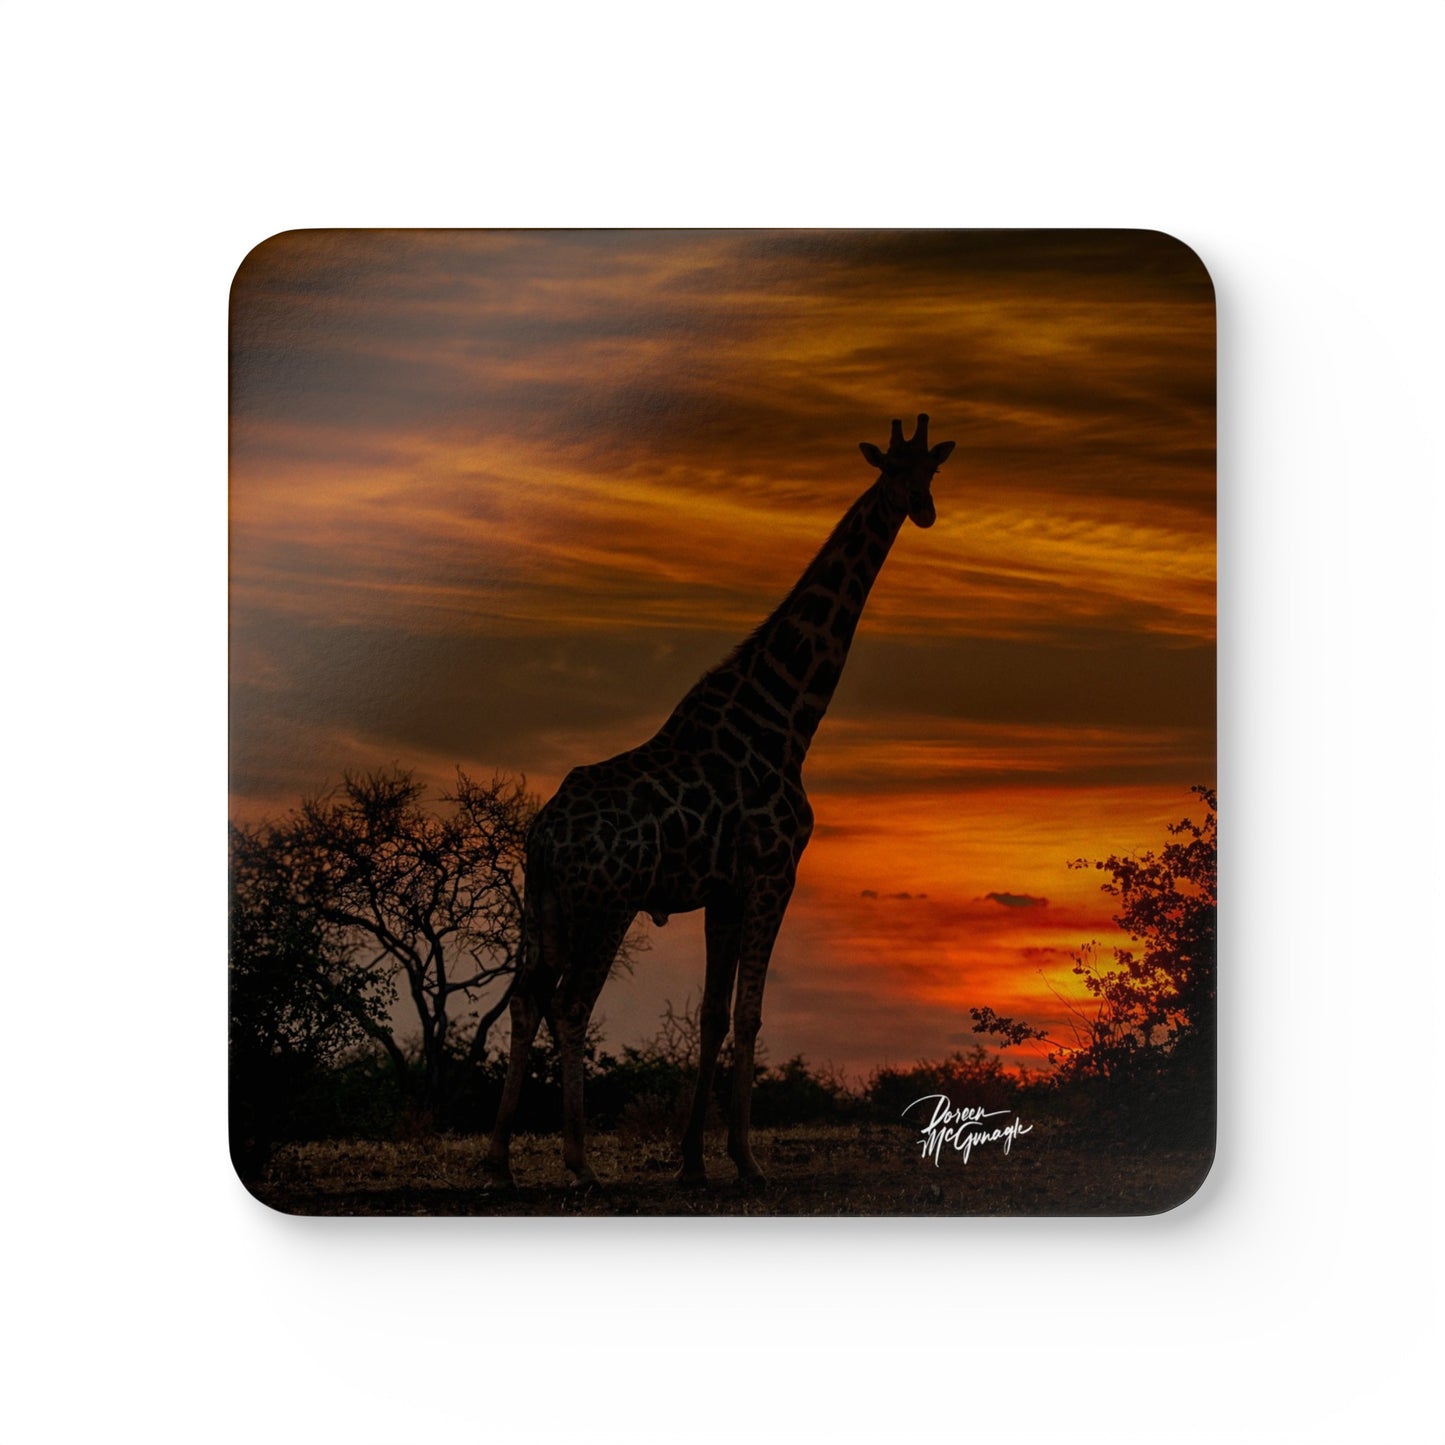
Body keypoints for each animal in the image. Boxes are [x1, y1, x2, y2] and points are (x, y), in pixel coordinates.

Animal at [484, 414, 955, 1188]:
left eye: (932, 470)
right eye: (892, 469)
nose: (922, 509)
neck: (787, 718)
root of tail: (544, 835)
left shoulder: (723, 890)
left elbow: (710, 1015)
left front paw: (694, 1161)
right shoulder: (773, 873)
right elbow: (750, 1014)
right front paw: (746, 1158)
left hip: (542, 902)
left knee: (525, 999)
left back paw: (497, 1161)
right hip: (606, 901)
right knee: (571, 1004)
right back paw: (580, 1163)